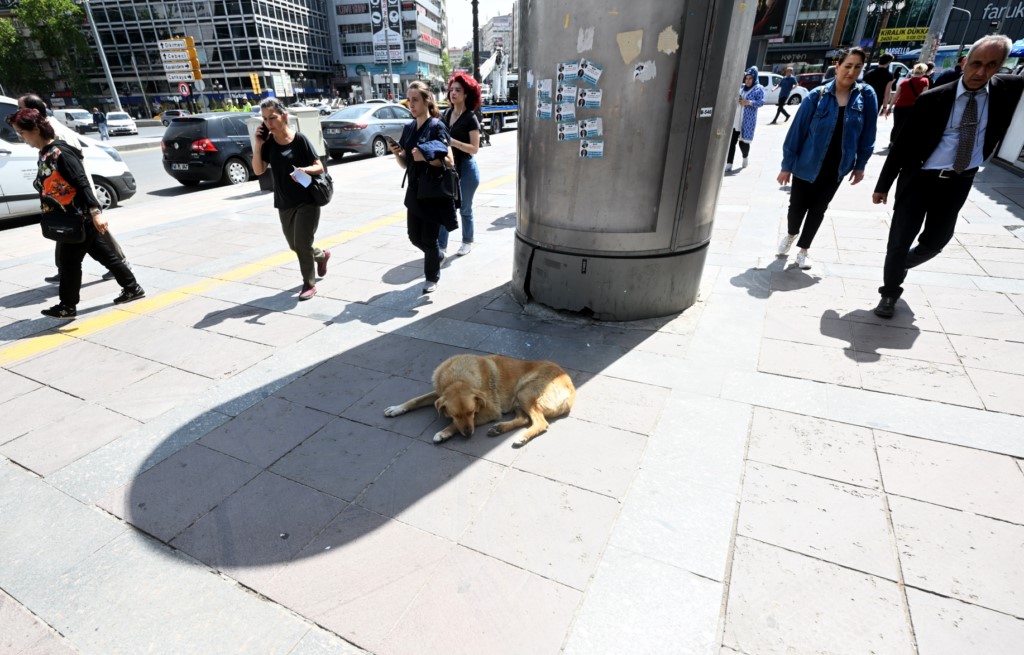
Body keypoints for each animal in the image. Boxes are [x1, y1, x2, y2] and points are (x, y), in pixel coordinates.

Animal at [385, 356, 577, 448]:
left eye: (471, 412)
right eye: (455, 414)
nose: (469, 434)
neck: (458, 378)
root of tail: (572, 388)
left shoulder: (490, 411)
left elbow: (456, 425)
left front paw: (444, 432)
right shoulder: (439, 394)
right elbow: (416, 400)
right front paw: (397, 408)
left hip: (524, 393)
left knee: (540, 423)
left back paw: (522, 437)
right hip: (518, 399)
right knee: (523, 419)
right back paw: (500, 428)